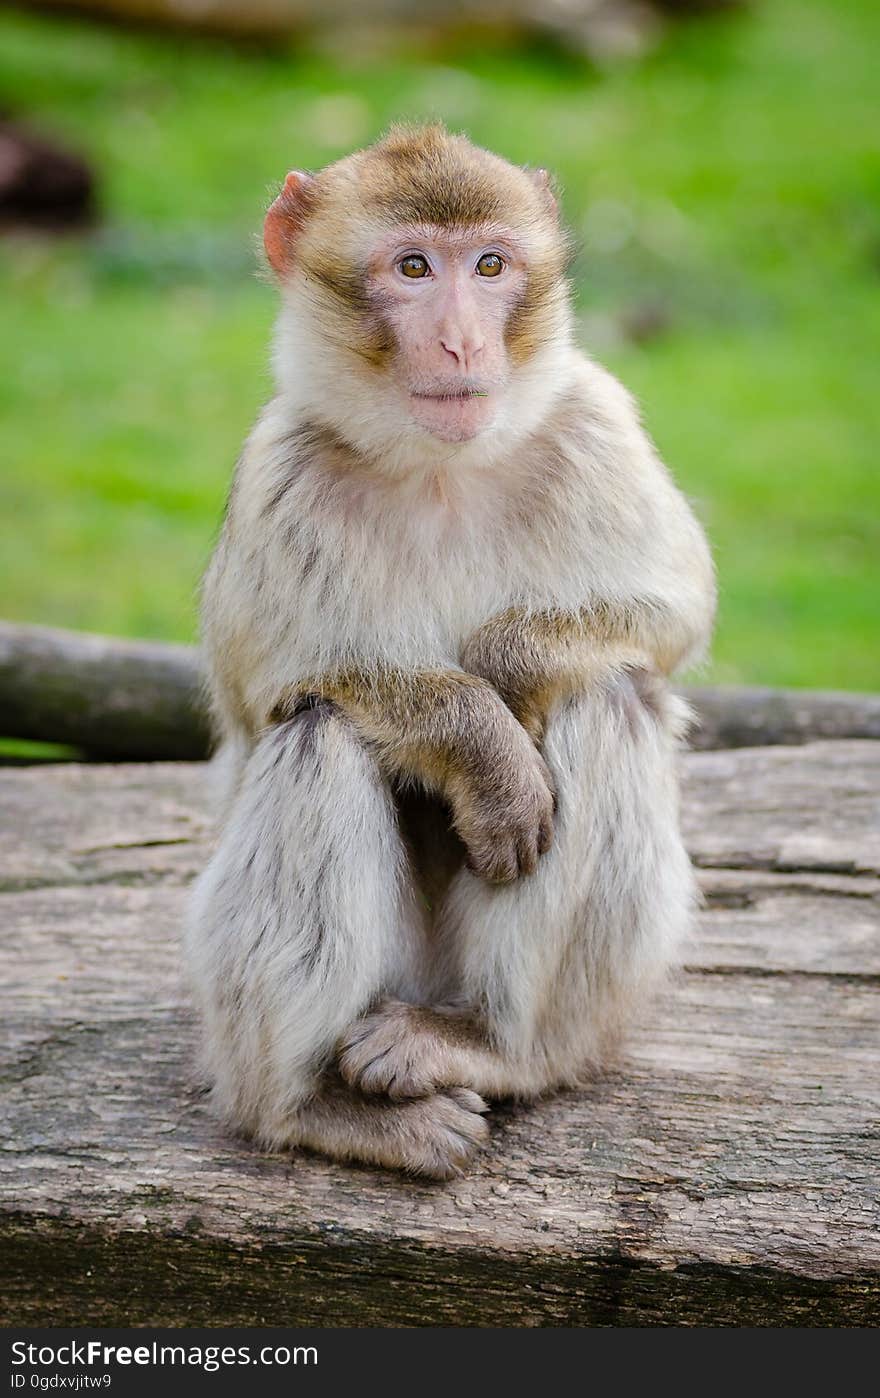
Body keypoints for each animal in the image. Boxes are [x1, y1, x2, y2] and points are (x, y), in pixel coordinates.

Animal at [187, 123, 713, 1179]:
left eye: (490, 266)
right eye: (414, 268)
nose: (464, 341)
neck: (440, 471)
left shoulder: (599, 424)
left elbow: (671, 612)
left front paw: (508, 673)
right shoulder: (280, 475)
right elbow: (282, 687)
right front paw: (488, 752)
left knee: (607, 694)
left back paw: (492, 1045)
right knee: (320, 735)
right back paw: (310, 1108)